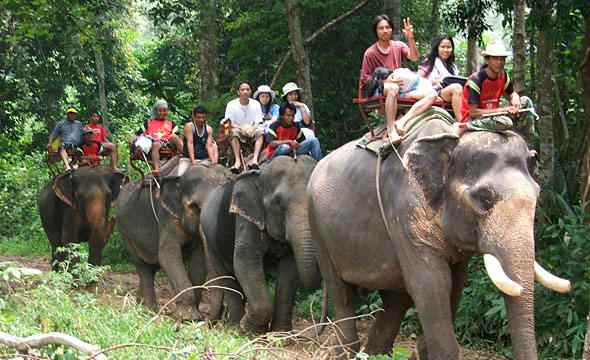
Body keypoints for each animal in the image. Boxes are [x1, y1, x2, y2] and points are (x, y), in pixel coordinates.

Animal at [115, 162, 234, 320]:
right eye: (195, 207)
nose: (210, 320)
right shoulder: (166, 216)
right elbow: (167, 255)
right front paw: (187, 317)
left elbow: (199, 260)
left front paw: (194, 316)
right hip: (125, 231)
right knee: (142, 265)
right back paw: (149, 311)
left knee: (152, 267)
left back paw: (139, 305)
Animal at [202, 156, 324, 334]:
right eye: (278, 203)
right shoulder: (247, 219)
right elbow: (245, 260)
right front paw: (249, 329)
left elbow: (290, 270)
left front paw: (281, 334)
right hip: (211, 241)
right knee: (226, 275)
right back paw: (235, 327)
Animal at [308, 119, 572, 360]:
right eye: (484, 199)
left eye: (537, 195)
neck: (450, 142)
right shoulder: (405, 210)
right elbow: (431, 282)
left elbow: (454, 284)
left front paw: (421, 352)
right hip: (318, 227)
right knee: (342, 293)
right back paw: (346, 351)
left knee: (396, 300)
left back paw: (375, 352)